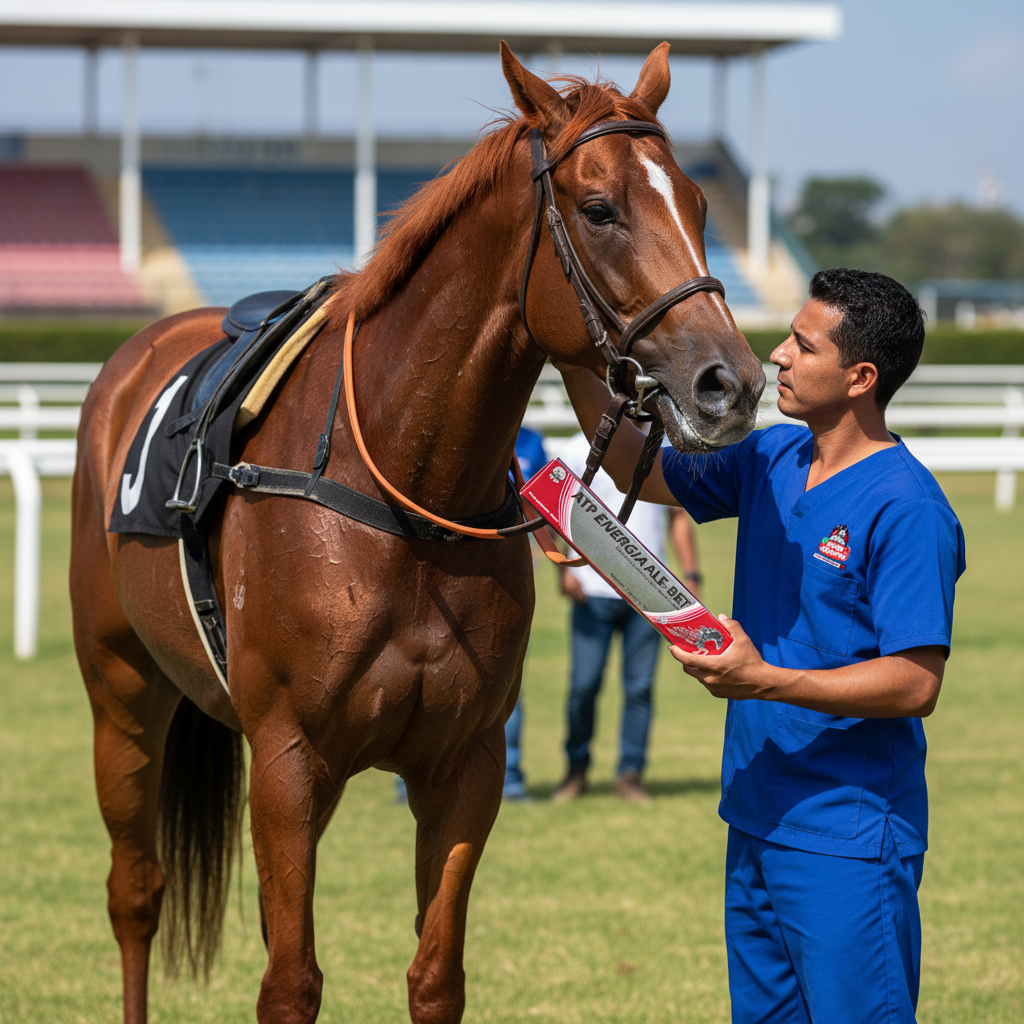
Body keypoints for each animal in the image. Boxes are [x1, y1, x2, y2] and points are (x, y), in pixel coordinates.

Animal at [70, 42, 764, 1024]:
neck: (401, 498)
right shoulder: (287, 760)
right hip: (122, 693)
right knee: (136, 894)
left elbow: (435, 976)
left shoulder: (462, 766)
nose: (730, 384)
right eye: (599, 209)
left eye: (702, 205)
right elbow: (290, 983)